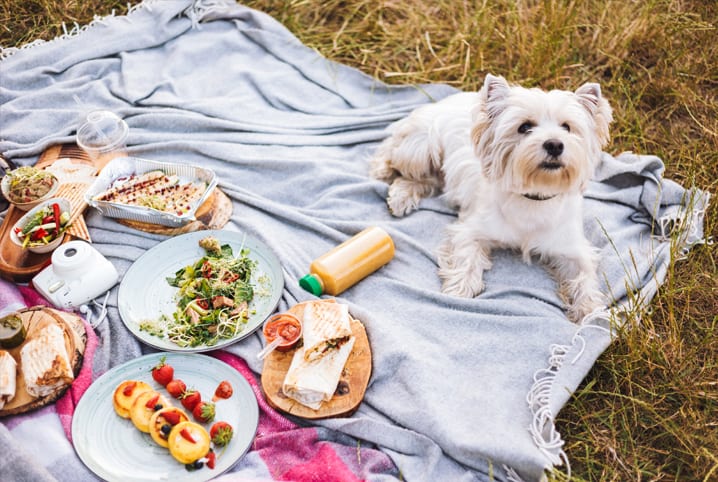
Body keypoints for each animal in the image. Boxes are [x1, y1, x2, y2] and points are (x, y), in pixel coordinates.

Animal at [372, 74, 612, 324]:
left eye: (567, 127)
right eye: (525, 127)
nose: (555, 144)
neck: (534, 197)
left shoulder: (573, 248)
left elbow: (584, 277)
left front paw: (590, 311)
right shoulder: (471, 229)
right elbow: (466, 258)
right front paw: (459, 291)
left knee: (425, 180)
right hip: (421, 148)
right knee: (394, 154)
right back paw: (385, 174)